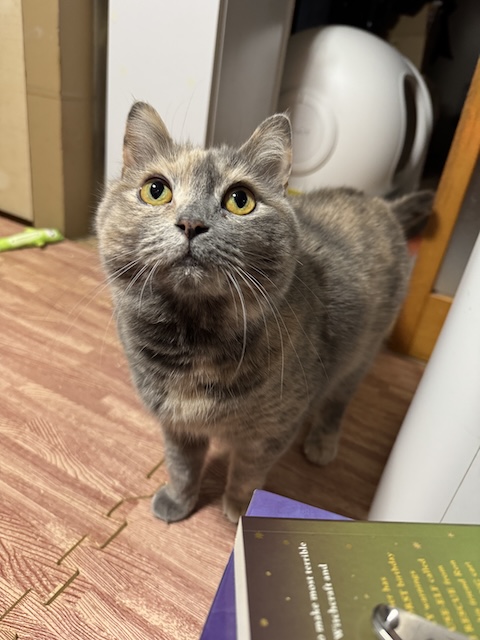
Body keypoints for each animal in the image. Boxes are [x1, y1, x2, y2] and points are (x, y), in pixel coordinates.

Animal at [96, 101, 432, 524]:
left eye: (240, 200)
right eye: (155, 190)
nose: (191, 223)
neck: (193, 339)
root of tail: (381, 203)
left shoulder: (269, 433)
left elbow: (246, 475)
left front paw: (239, 511)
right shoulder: (176, 424)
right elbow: (181, 466)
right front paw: (178, 501)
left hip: (360, 356)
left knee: (338, 401)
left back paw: (322, 444)